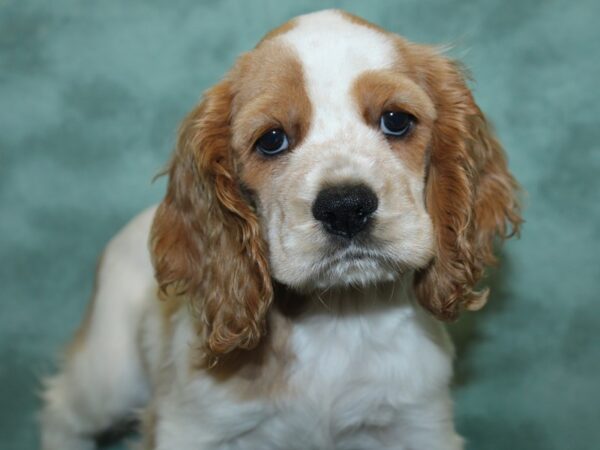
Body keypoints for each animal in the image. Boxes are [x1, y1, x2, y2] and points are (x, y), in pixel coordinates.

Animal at [41, 10, 520, 450]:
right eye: (272, 140)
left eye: (396, 120)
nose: (345, 208)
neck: (338, 318)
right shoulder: (193, 427)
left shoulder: (417, 422)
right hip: (109, 374)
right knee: (61, 406)